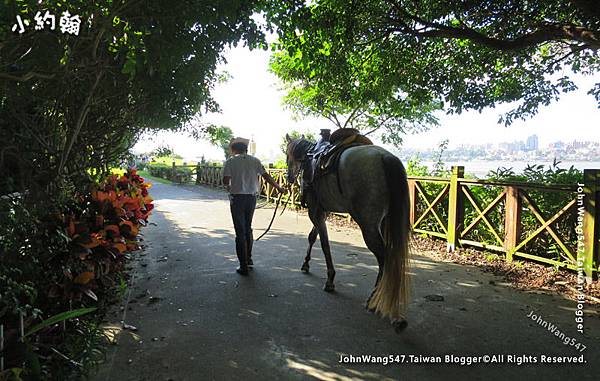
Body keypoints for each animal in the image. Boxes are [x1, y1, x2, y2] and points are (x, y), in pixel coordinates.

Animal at [286, 135, 412, 332]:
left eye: (287, 155)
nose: (289, 177)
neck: (308, 157)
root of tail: (385, 158)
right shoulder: (323, 210)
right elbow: (313, 236)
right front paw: (306, 264)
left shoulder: (315, 210)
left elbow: (324, 244)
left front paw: (330, 279)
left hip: (368, 225)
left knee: (384, 258)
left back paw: (374, 299)